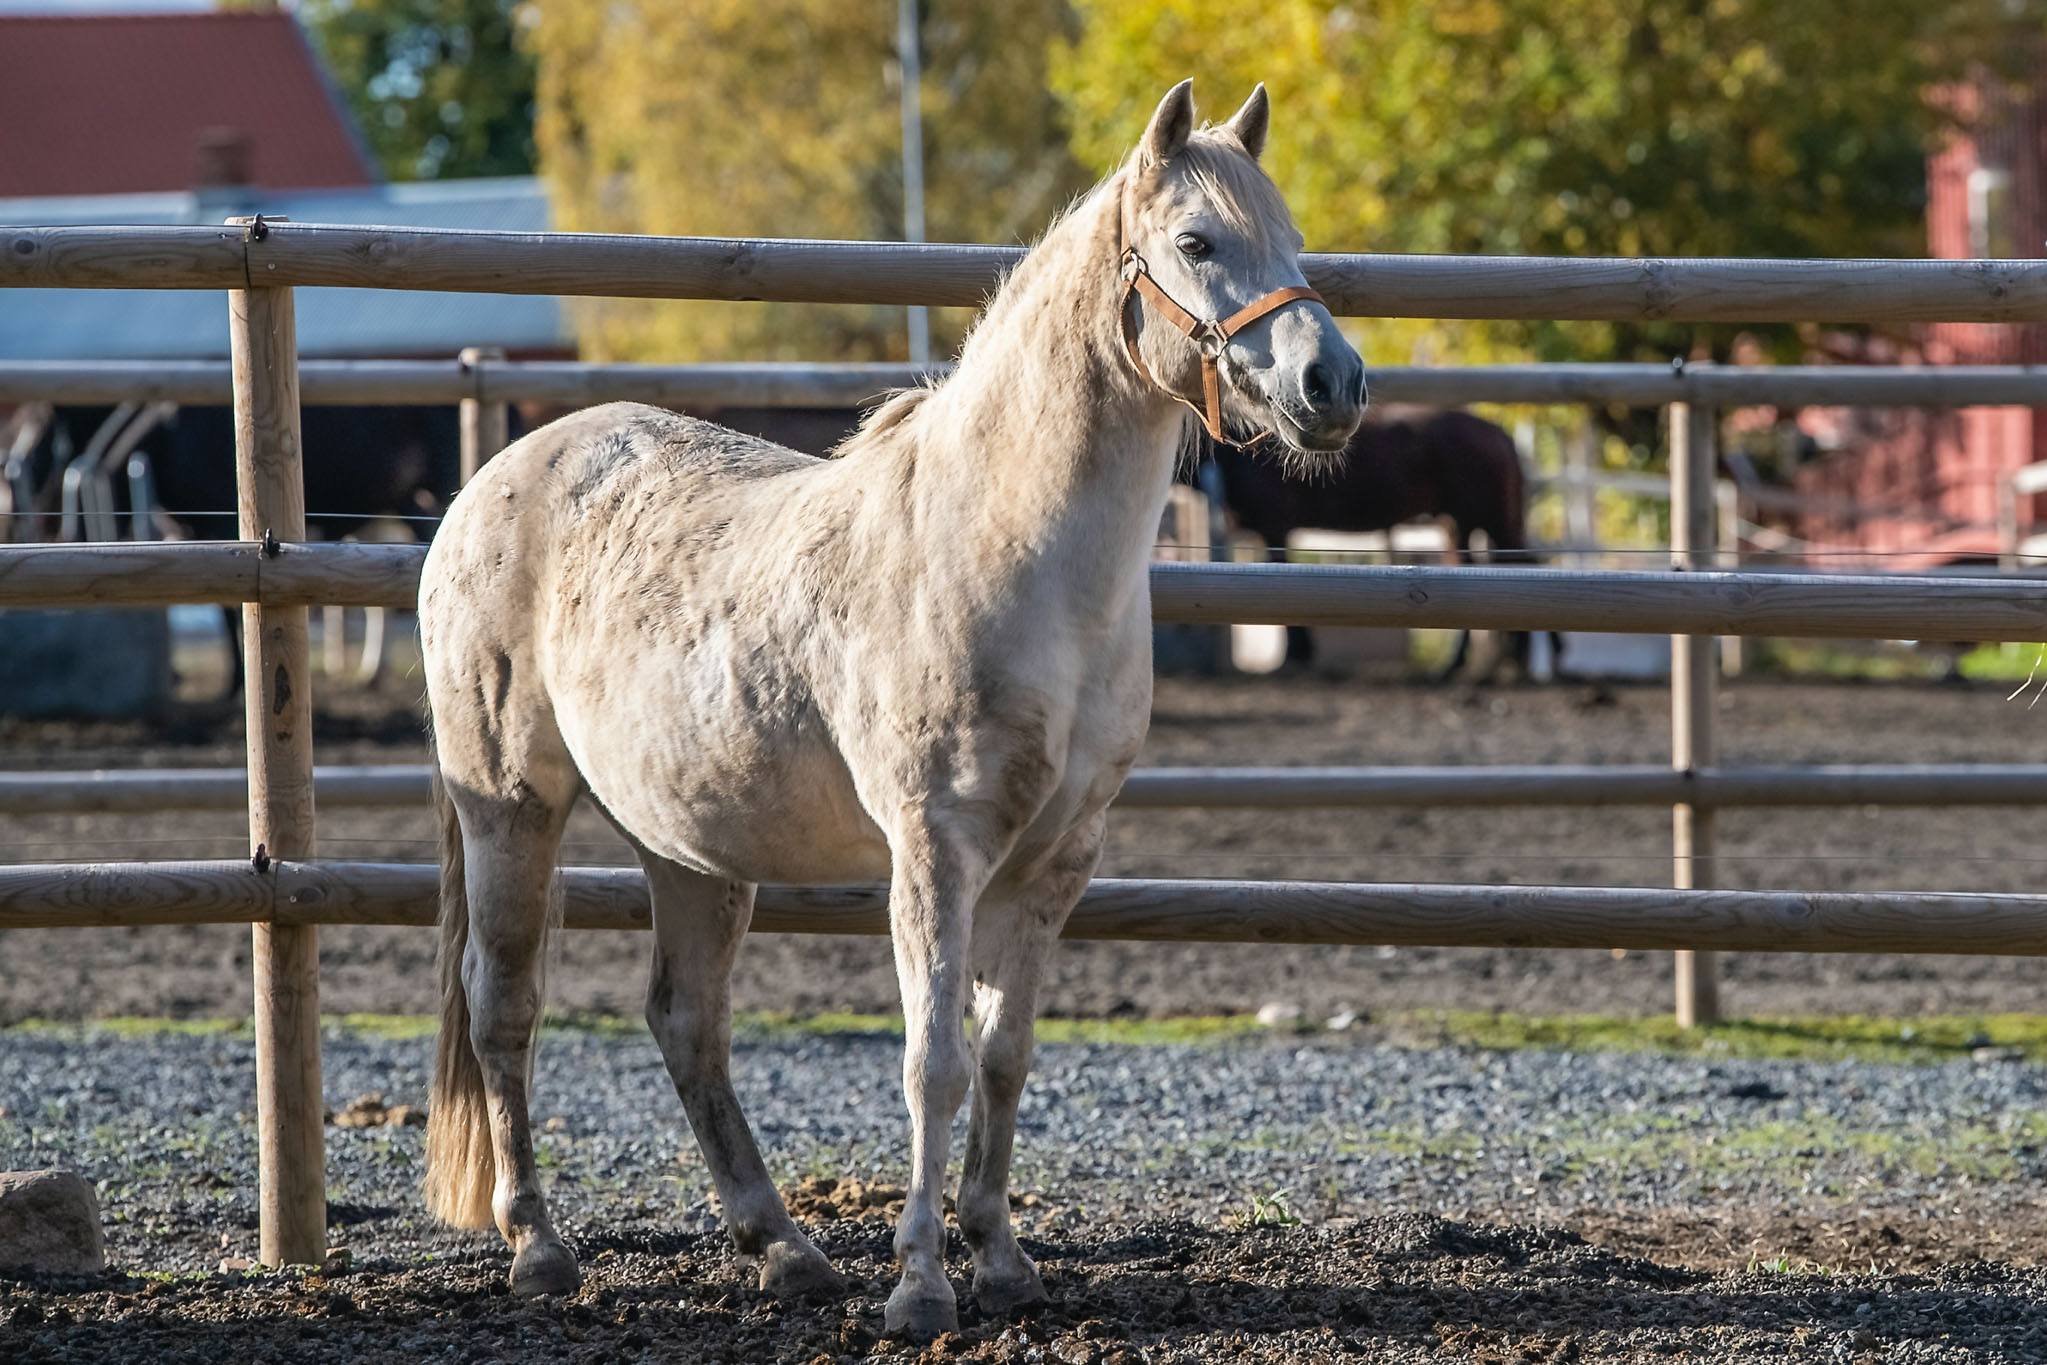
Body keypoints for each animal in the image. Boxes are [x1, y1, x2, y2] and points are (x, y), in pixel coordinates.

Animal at [419, 82, 1359, 1334]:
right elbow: (933, 1062)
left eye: (1291, 241)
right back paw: (539, 1250)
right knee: (504, 1007)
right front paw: (919, 1286)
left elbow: (1004, 1057)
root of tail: (493, 482)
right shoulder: (935, 846)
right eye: (1198, 242)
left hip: (691, 845)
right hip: (510, 809)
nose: (1333, 386)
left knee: (686, 1021)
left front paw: (1000, 1260)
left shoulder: (1056, 859)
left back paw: (785, 1252)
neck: (1010, 550)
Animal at [1195, 409, 1547, 679]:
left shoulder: (1274, 529)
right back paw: (1463, 665)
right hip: (1458, 525)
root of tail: (1499, 433)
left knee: (1522, 566)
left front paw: (1296, 656)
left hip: (1491, 521)